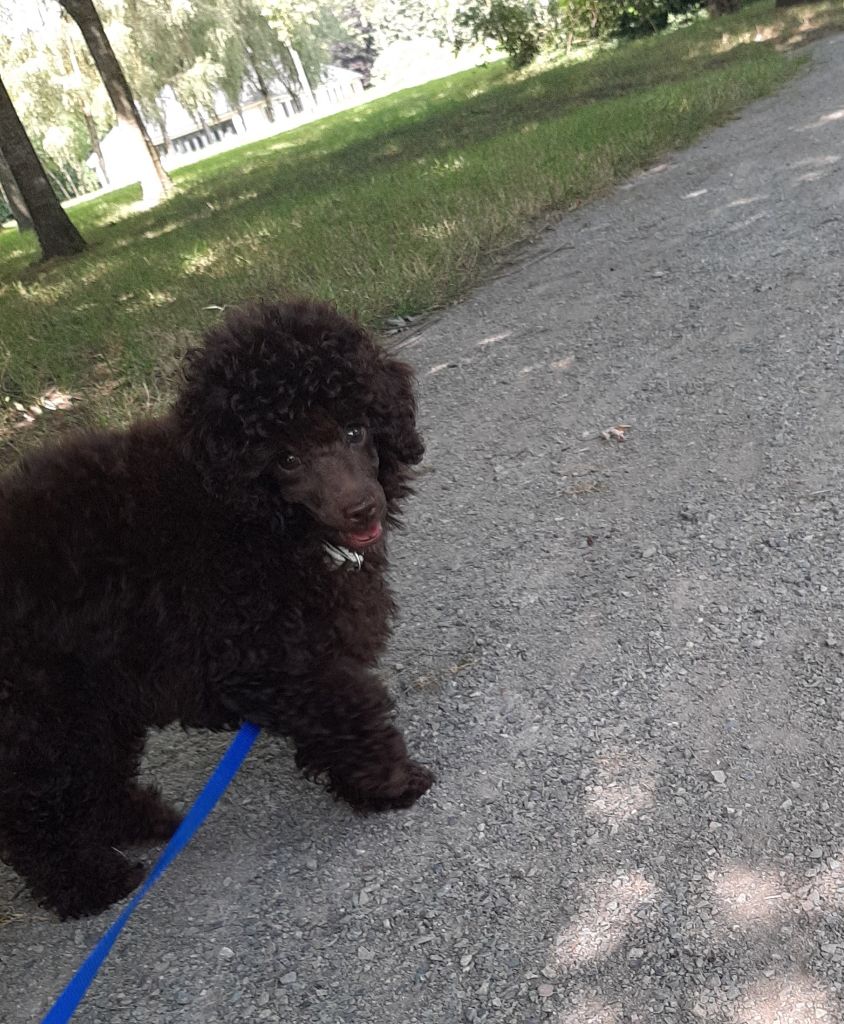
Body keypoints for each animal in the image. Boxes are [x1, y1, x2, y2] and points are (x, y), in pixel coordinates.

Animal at [0, 299, 434, 921]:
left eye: (355, 430)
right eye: (287, 458)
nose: (360, 509)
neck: (259, 520)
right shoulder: (271, 661)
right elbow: (350, 714)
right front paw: (390, 783)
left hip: (93, 702)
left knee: (95, 780)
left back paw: (144, 822)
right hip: (41, 716)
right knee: (35, 820)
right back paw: (91, 885)